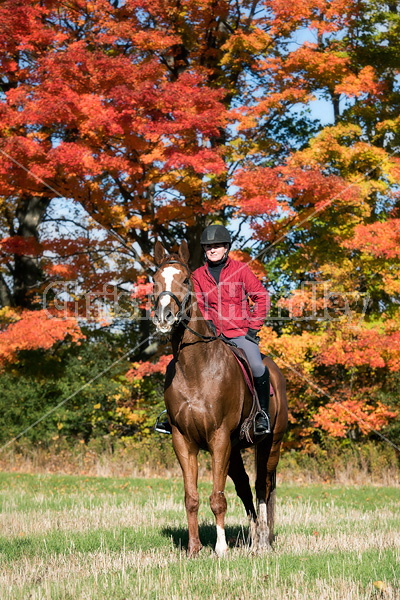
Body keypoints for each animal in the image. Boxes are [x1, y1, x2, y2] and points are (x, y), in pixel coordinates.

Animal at [152, 240, 286, 556]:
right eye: (154, 280)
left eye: (185, 280)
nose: (163, 318)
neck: (195, 367)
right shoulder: (183, 441)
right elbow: (192, 498)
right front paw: (194, 549)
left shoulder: (219, 438)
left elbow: (217, 498)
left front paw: (221, 549)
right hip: (235, 451)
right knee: (245, 487)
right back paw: (253, 539)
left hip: (270, 444)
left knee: (262, 487)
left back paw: (263, 540)